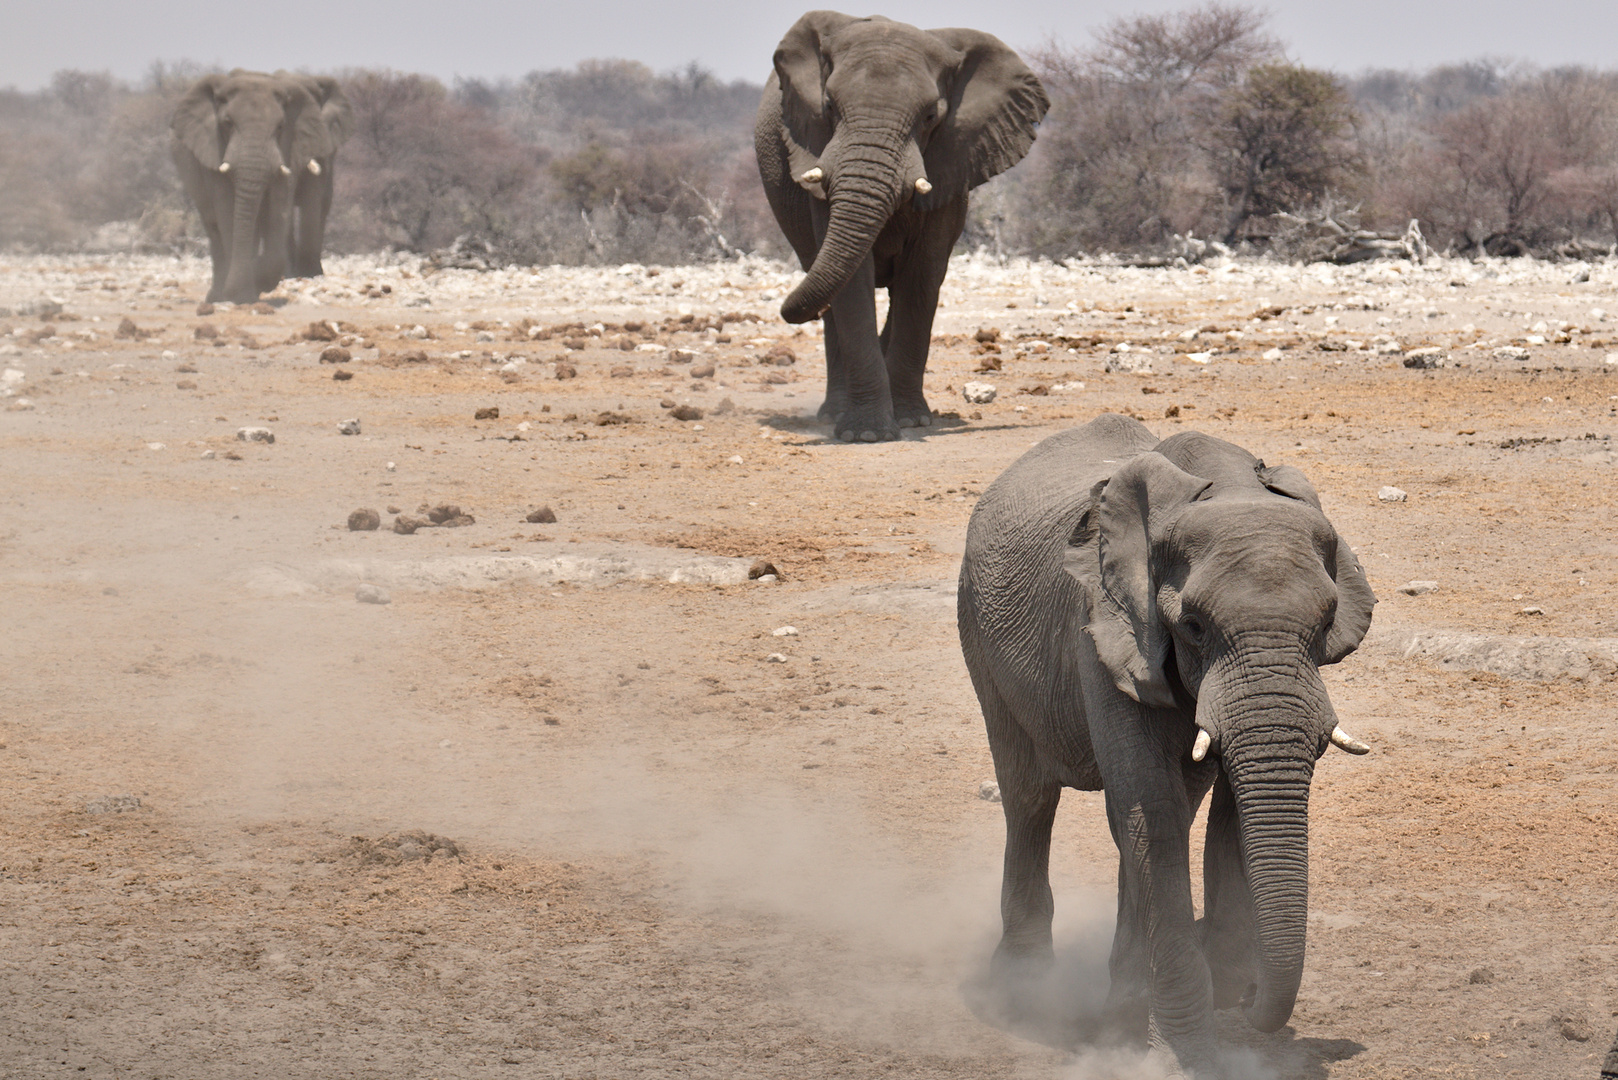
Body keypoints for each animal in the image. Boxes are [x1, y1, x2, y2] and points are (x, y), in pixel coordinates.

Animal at [169, 70, 349, 304]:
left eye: (280, 126)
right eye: (227, 123)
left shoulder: (293, 145)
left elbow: (281, 207)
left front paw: (256, 280)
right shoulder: (213, 148)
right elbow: (227, 209)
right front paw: (241, 294)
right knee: (213, 225)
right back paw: (216, 297)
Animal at [753, 8, 1048, 440]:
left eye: (930, 117)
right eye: (829, 106)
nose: (784, 311)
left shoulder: (951, 159)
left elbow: (921, 276)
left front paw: (910, 421)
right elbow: (853, 280)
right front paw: (866, 435)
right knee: (827, 287)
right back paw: (832, 414)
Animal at [957, 411, 1378, 1075]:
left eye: (1325, 621)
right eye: (1194, 626)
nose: (1252, 1001)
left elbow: (1198, 806)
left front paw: (1208, 995)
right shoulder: (1102, 628)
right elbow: (1151, 806)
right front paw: (1183, 1053)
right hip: (977, 629)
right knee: (1030, 797)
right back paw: (1024, 990)